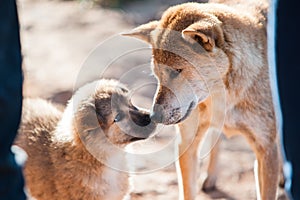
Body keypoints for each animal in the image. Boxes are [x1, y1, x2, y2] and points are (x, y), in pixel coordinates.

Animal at [122, 1, 282, 200]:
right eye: (157, 75)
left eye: (177, 71)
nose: (153, 117)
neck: (222, 97)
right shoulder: (186, 143)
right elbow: (188, 191)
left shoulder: (266, 150)